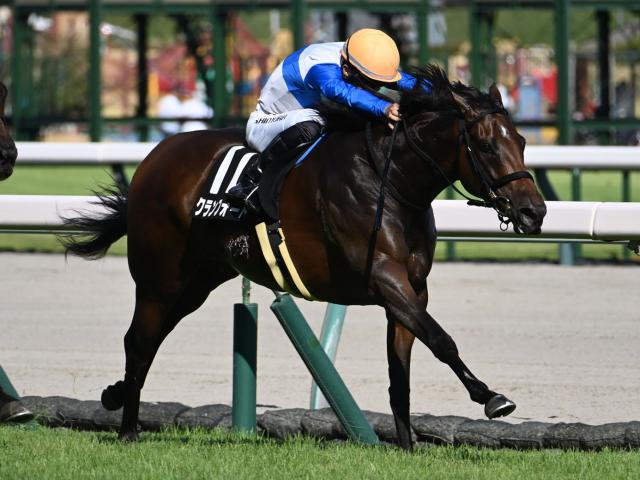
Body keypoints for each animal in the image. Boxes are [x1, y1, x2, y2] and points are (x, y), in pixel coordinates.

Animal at [61, 66, 546, 450]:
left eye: (522, 141)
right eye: (486, 145)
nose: (534, 212)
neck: (391, 179)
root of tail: (153, 158)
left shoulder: (412, 288)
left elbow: (401, 369)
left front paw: (408, 447)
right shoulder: (382, 277)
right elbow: (442, 340)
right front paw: (492, 398)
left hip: (195, 282)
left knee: (148, 339)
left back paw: (115, 395)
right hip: (159, 280)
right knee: (140, 341)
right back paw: (127, 428)